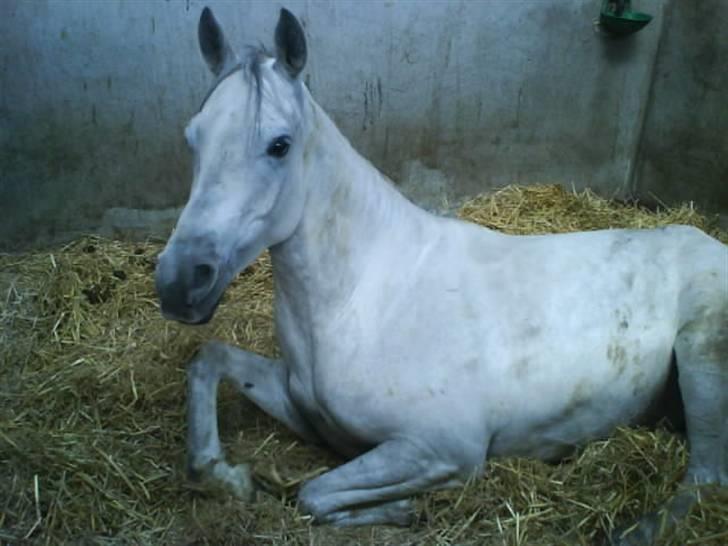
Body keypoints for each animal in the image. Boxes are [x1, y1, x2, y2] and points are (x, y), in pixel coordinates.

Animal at [155, 6, 728, 540]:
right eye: (192, 138)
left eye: (280, 145)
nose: (180, 282)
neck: (365, 298)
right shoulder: (305, 410)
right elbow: (210, 360)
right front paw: (223, 475)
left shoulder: (444, 449)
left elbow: (312, 494)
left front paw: (402, 510)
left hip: (703, 362)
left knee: (706, 477)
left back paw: (635, 531)